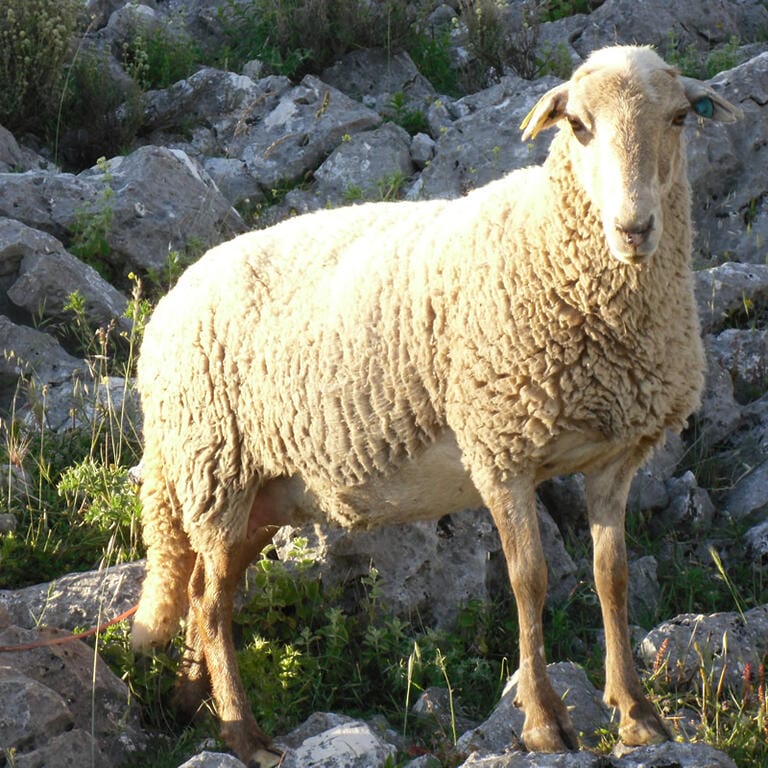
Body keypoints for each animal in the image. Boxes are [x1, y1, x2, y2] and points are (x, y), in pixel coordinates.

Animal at [131, 45, 742, 766]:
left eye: (680, 118)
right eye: (577, 126)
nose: (634, 228)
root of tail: (167, 306)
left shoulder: (614, 456)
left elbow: (609, 577)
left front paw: (638, 716)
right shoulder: (500, 448)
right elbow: (529, 579)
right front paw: (543, 721)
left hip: (259, 491)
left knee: (207, 591)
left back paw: (190, 698)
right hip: (214, 466)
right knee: (207, 602)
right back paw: (243, 734)